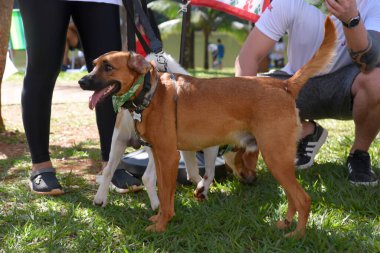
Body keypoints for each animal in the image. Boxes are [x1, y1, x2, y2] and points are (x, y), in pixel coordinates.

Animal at [79, 16, 336, 236]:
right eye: (94, 64)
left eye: (108, 67)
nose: (81, 81)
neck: (149, 93)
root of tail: (284, 86)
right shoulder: (161, 156)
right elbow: (164, 190)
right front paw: (161, 217)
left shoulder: (169, 156)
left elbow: (168, 194)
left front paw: (162, 224)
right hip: (279, 160)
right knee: (293, 197)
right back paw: (285, 223)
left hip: (275, 157)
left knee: (303, 199)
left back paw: (297, 235)